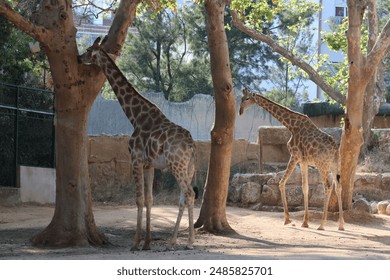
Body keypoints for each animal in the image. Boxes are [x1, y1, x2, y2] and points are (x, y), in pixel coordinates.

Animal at [77, 36, 197, 249]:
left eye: (89, 49)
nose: (78, 58)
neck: (135, 116)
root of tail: (191, 145)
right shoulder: (149, 164)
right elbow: (149, 200)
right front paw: (147, 242)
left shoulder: (135, 159)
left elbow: (139, 200)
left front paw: (135, 243)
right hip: (188, 167)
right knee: (183, 198)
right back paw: (172, 241)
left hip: (177, 165)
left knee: (189, 194)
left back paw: (190, 241)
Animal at [238, 88, 344, 231]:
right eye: (241, 99)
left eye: (247, 98)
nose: (240, 111)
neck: (291, 125)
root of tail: (334, 149)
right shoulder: (304, 161)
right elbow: (305, 188)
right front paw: (305, 222)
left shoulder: (295, 156)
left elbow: (282, 183)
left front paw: (287, 220)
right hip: (334, 165)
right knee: (338, 186)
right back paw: (341, 225)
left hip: (322, 166)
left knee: (327, 186)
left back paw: (322, 224)